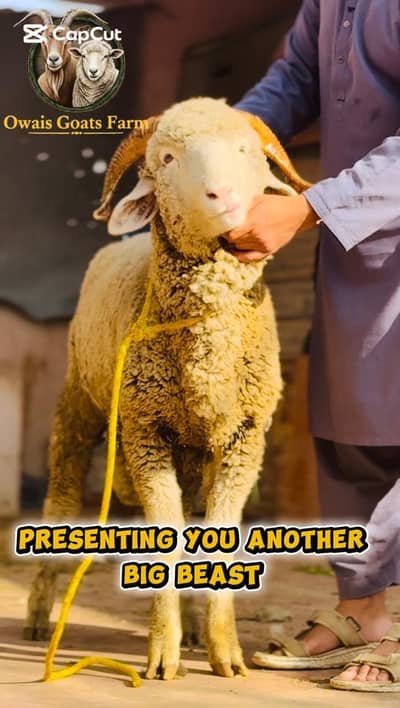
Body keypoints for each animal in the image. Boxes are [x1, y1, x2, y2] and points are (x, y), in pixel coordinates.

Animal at [24, 98, 310, 680]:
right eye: (168, 158)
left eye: (246, 150)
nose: (222, 195)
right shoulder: (144, 432)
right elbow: (166, 541)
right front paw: (162, 652)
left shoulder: (245, 440)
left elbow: (215, 544)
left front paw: (224, 652)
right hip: (78, 407)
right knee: (59, 502)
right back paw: (40, 618)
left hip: (191, 453)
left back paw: (197, 631)